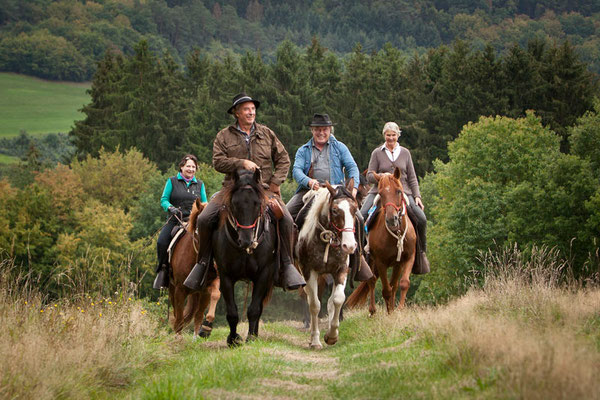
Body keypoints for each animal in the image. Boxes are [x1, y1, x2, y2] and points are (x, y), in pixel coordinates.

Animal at [169, 198, 220, 336]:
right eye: (200, 229)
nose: (214, 262)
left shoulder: (209, 285)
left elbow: (216, 294)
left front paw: (207, 326)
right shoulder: (179, 290)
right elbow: (179, 318)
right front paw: (178, 338)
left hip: (200, 294)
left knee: (198, 315)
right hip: (172, 288)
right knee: (177, 314)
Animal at [212, 169, 278, 346]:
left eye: (257, 203)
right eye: (235, 203)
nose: (246, 240)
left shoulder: (263, 274)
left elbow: (254, 309)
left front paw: (251, 337)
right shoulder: (225, 276)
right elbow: (232, 312)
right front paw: (233, 339)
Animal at [298, 180, 358, 348]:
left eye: (355, 208)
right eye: (335, 210)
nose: (349, 246)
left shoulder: (341, 270)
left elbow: (337, 299)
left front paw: (332, 335)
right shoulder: (309, 271)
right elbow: (315, 305)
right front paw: (315, 340)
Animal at [344, 167, 414, 314]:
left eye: (398, 191)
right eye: (381, 194)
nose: (392, 219)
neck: (396, 233)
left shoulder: (408, 257)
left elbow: (403, 283)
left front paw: (398, 309)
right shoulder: (380, 262)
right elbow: (386, 290)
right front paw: (389, 313)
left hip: (396, 264)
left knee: (393, 285)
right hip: (371, 260)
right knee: (372, 281)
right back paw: (372, 310)